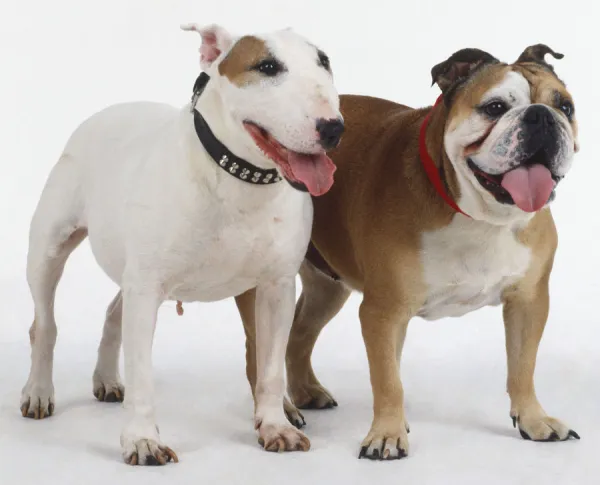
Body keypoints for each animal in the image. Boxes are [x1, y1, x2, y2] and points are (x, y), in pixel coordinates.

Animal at [21, 23, 342, 466]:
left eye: (324, 61)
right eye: (267, 66)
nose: (333, 128)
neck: (240, 178)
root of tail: (103, 112)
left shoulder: (276, 287)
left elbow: (272, 367)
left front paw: (276, 427)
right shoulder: (146, 286)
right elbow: (142, 372)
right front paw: (142, 441)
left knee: (113, 312)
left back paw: (106, 380)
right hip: (50, 249)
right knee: (45, 324)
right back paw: (38, 392)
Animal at [236, 43, 580, 460]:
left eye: (565, 106)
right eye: (495, 107)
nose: (542, 116)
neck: (478, 215)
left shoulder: (528, 302)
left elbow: (522, 365)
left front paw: (533, 419)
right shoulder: (385, 312)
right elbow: (388, 380)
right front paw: (386, 434)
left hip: (327, 288)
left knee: (300, 334)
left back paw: (307, 393)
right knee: (258, 353)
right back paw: (280, 413)